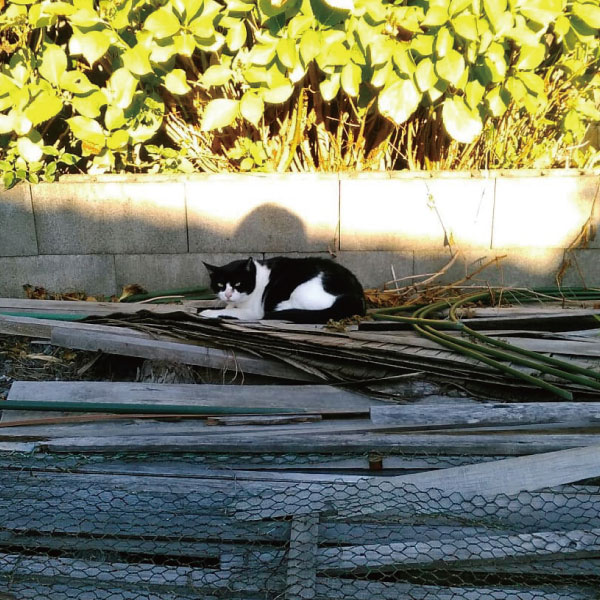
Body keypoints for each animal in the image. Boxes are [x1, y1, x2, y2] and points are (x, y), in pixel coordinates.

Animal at [200, 256, 366, 324]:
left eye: (238, 283)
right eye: (220, 285)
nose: (228, 294)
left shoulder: (253, 311)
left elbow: (229, 311)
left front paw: (207, 312)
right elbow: (228, 307)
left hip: (302, 290)